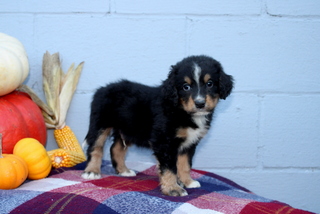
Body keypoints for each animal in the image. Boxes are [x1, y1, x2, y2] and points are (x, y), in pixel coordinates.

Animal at [81, 54, 234, 196]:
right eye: (186, 87)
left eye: (210, 84)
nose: (200, 103)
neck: (180, 109)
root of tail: (102, 89)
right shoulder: (164, 142)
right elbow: (169, 168)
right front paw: (173, 189)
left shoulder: (190, 143)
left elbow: (184, 164)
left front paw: (187, 182)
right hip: (100, 124)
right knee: (95, 148)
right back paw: (92, 171)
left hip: (128, 129)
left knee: (116, 148)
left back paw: (124, 171)